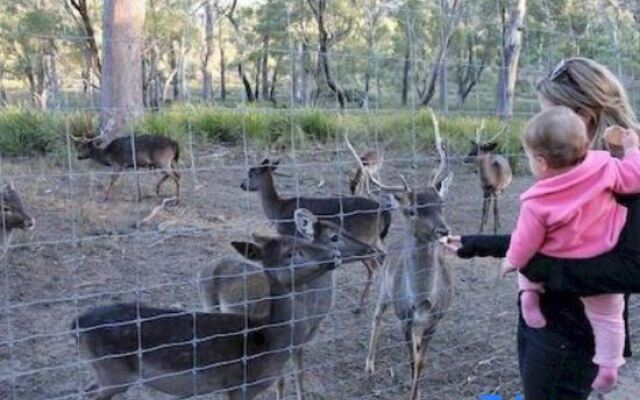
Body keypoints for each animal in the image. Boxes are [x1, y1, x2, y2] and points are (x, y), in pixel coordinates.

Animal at [72, 228, 342, 400]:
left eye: (302, 240)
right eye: (292, 253)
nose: (335, 255)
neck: (270, 341)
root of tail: (75, 325)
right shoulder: (239, 386)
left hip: (107, 373)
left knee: (87, 389)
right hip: (114, 373)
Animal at [199, 208, 380, 398]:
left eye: (343, 228)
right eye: (334, 237)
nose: (370, 248)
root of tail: (202, 270)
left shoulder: (299, 345)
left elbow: (299, 375)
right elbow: (281, 381)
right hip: (209, 305)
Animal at [239, 158, 390, 314]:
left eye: (251, 174)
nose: (242, 185)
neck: (277, 212)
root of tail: (385, 213)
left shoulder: (291, 236)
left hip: (366, 239)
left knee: (373, 266)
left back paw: (360, 306)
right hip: (377, 239)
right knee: (385, 255)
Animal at [364, 112, 456, 400]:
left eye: (441, 204)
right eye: (414, 210)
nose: (443, 230)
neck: (422, 300)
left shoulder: (437, 318)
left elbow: (421, 362)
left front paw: (417, 392)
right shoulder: (403, 316)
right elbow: (412, 361)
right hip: (385, 288)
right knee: (376, 317)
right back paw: (369, 365)